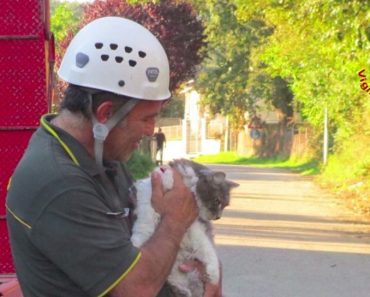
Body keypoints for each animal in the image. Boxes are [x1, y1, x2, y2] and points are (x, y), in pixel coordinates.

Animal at [132, 158, 238, 294]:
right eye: (217, 201)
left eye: (225, 205)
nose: (218, 217)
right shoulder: (148, 196)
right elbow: (145, 224)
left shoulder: (196, 228)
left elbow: (209, 251)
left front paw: (214, 276)